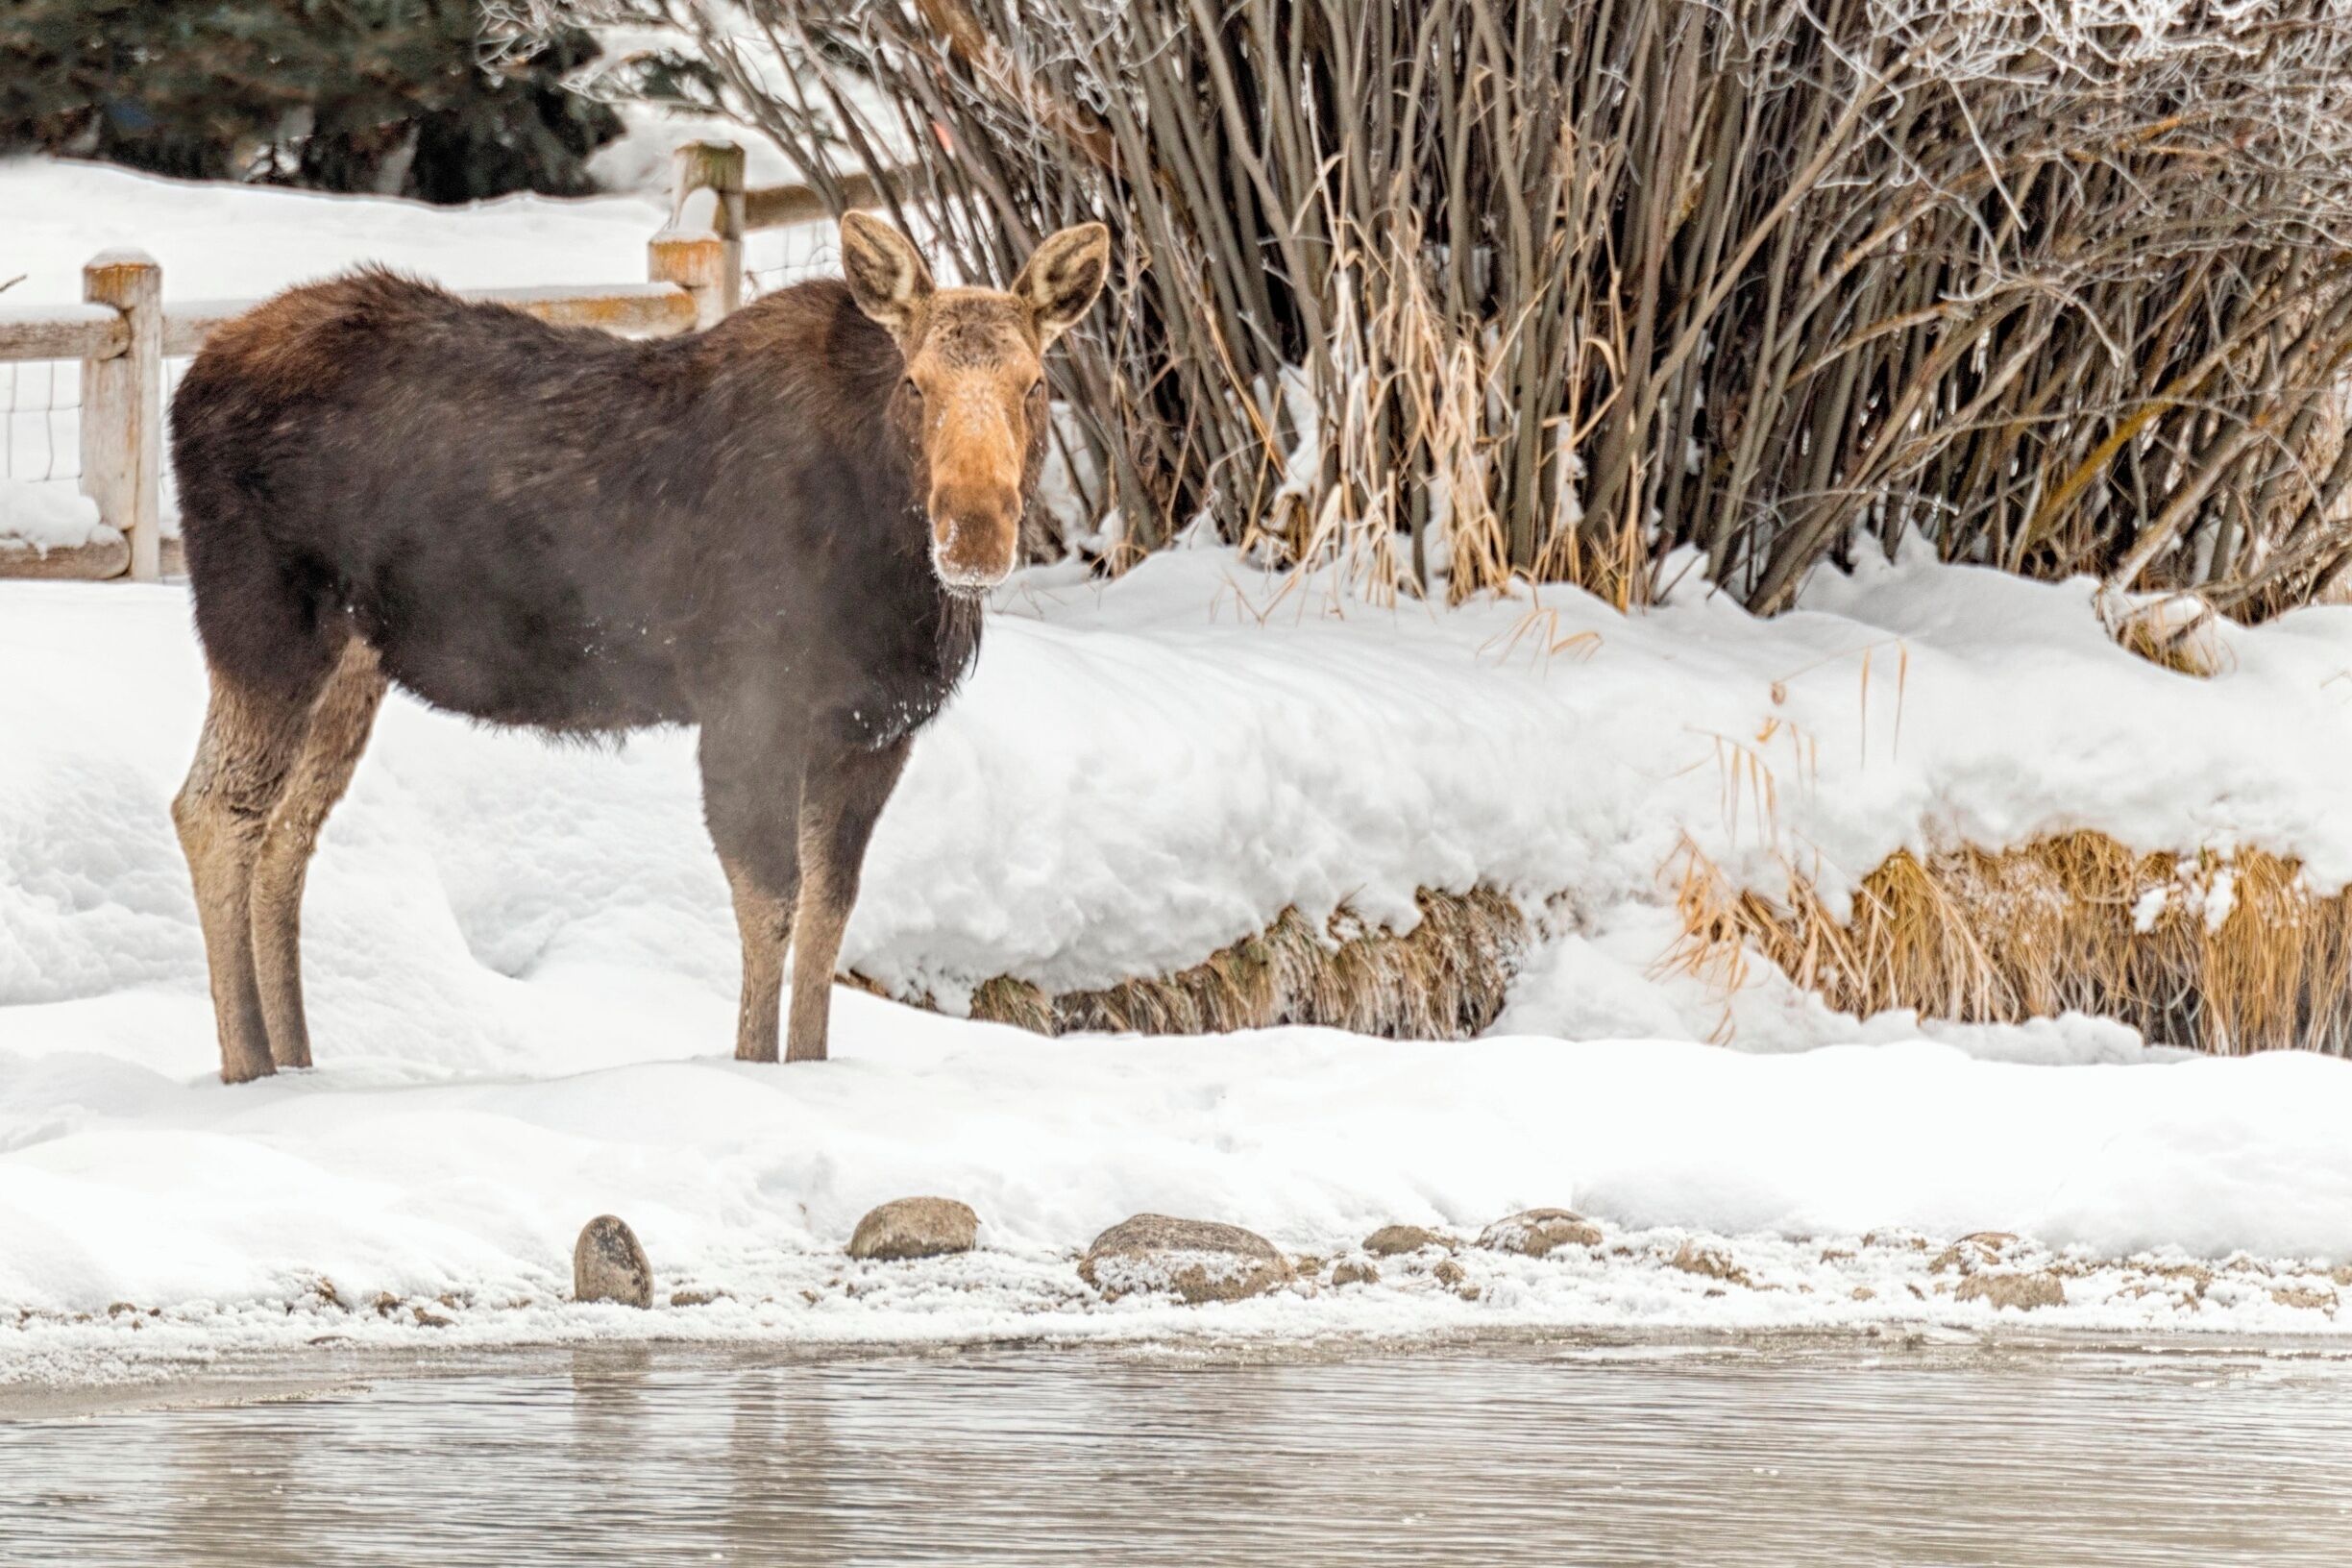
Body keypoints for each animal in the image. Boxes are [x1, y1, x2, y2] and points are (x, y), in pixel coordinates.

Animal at [167, 213, 1110, 1083]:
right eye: (915, 383)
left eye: (1034, 384)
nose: (975, 533)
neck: (895, 580)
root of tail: (189, 383)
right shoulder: (748, 704)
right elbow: (771, 902)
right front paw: (757, 1069)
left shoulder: (872, 732)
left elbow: (830, 915)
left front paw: (810, 1068)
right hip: (264, 619)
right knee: (213, 810)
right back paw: (249, 1068)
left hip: (354, 656)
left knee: (288, 833)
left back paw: (298, 1064)